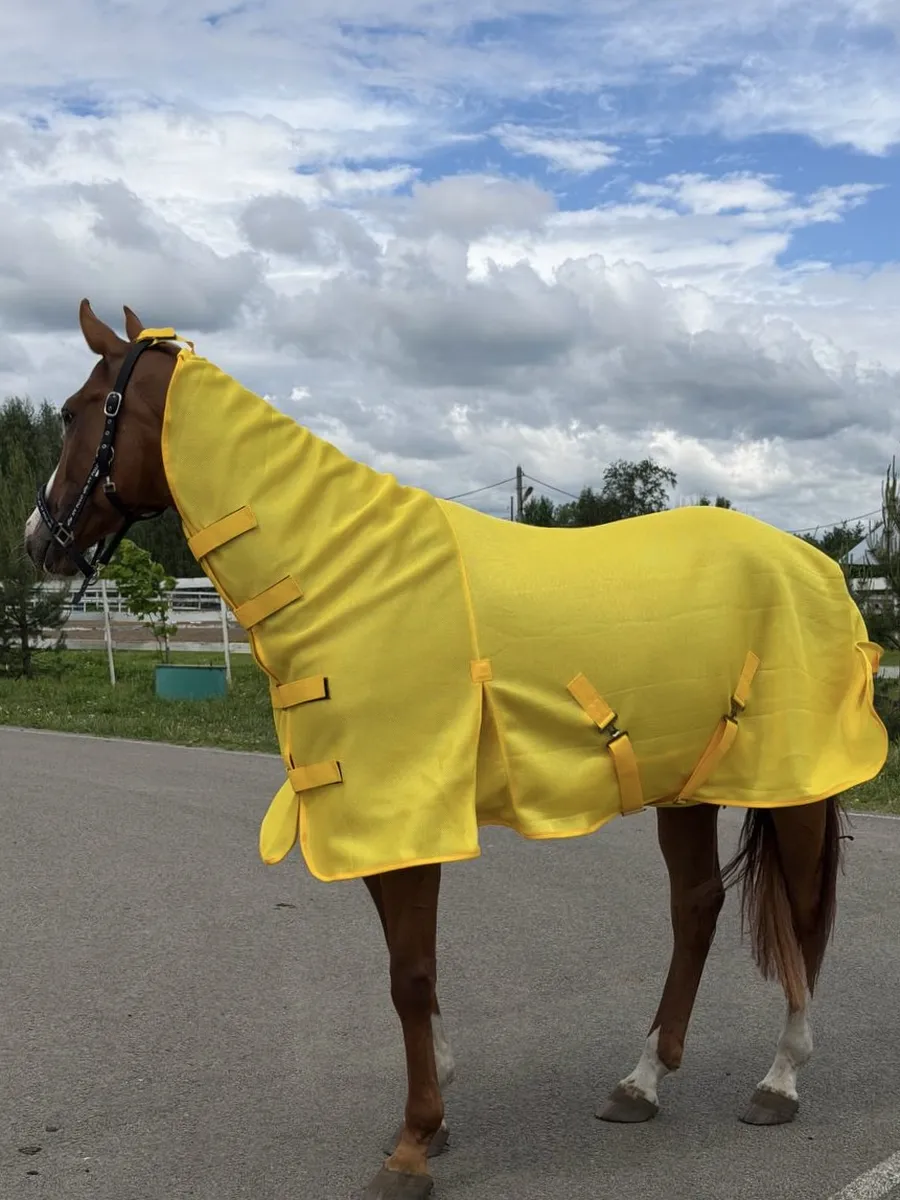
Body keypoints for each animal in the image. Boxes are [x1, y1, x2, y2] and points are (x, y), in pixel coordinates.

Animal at [22, 300, 886, 1200]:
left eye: (75, 412)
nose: (37, 540)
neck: (345, 572)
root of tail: (818, 566)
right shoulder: (373, 820)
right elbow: (411, 974)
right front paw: (431, 1120)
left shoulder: (409, 815)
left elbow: (410, 976)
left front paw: (411, 1144)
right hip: (687, 785)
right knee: (697, 907)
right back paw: (641, 1082)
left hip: (790, 788)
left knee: (800, 912)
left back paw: (779, 1081)